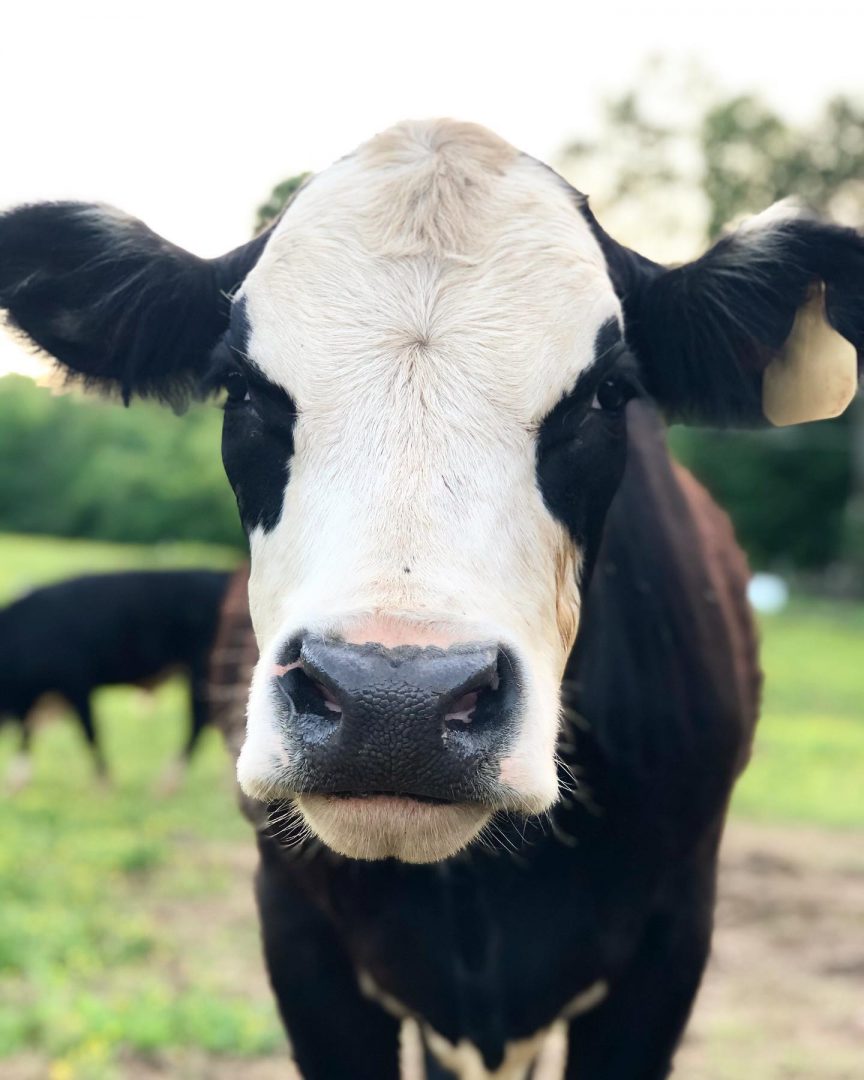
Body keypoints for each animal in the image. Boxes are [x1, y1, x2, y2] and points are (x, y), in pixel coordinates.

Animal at [0, 570, 233, 790]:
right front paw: (18, 780)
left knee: (199, 722)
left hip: (203, 671)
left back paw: (167, 783)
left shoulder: (77, 684)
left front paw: (104, 783)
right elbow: (27, 733)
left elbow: (90, 732)